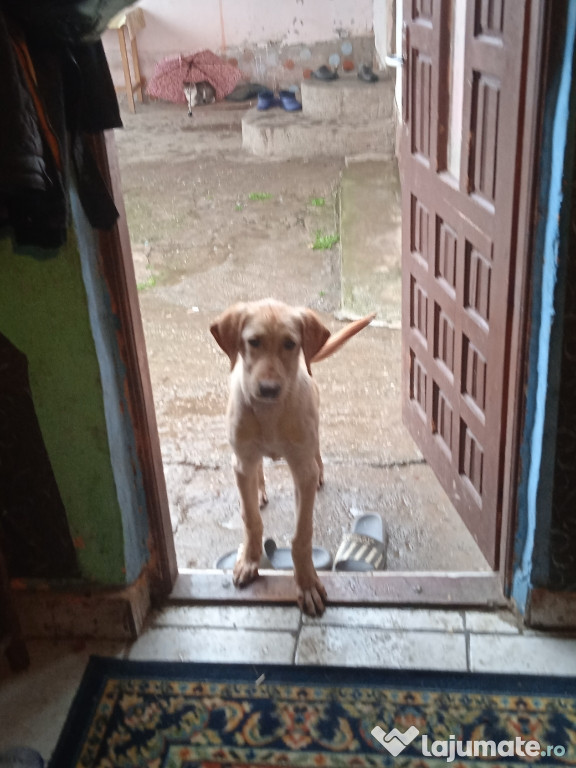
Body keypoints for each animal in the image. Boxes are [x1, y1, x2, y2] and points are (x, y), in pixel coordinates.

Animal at [209, 296, 376, 616]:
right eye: (253, 342)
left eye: (290, 344)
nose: (268, 389)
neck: (270, 413)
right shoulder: (241, 462)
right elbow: (250, 519)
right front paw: (249, 561)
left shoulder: (301, 469)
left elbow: (302, 534)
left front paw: (307, 583)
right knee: (258, 473)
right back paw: (260, 490)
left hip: (314, 432)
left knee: (317, 454)